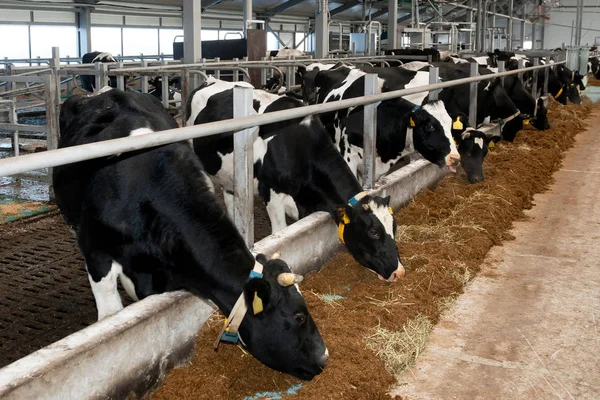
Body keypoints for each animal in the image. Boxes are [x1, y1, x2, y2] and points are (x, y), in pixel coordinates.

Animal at [185, 78, 406, 282]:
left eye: (394, 226)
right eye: (373, 232)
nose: (399, 271)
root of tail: (210, 80)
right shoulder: (271, 192)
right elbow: (280, 232)